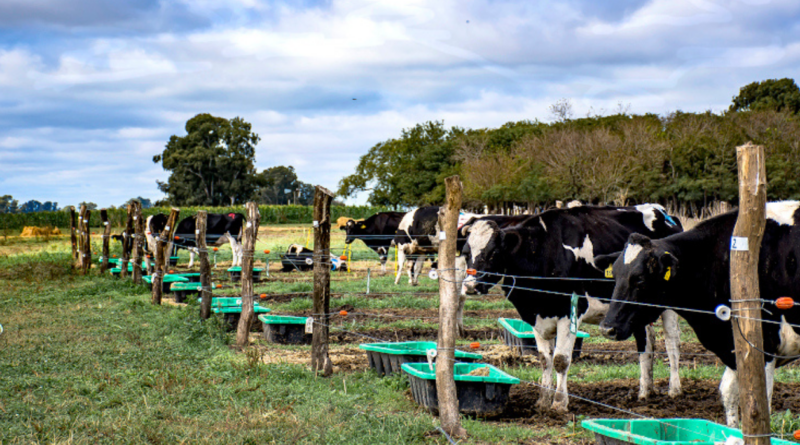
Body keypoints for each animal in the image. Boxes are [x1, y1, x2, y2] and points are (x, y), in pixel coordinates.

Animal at [460, 205, 684, 412]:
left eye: (493, 253)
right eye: (466, 253)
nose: (470, 286)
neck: (542, 250)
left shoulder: (569, 313)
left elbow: (561, 359)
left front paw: (559, 403)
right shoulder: (535, 316)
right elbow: (544, 359)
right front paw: (542, 401)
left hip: (668, 305)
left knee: (671, 341)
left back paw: (674, 390)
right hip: (635, 309)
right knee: (646, 341)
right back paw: (645, 392)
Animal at [596, 201, 800, 426]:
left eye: (639, 278)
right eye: (614, 276)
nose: (607, 328)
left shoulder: (763, 347)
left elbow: (759, 405)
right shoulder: (732, 348)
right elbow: (729, 393)